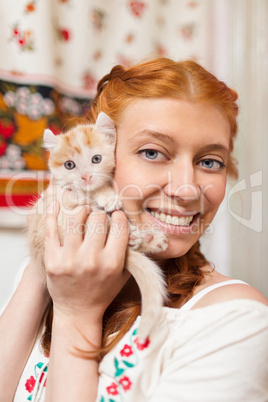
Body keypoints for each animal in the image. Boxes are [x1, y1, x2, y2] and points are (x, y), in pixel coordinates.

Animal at [28, 112, 168, 340]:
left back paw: (148, 239)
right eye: (69, 165)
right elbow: (86, 191)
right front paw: (107, 196)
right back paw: (137, 237)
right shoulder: (64, 192)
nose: (86, 177)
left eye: (96, 159)